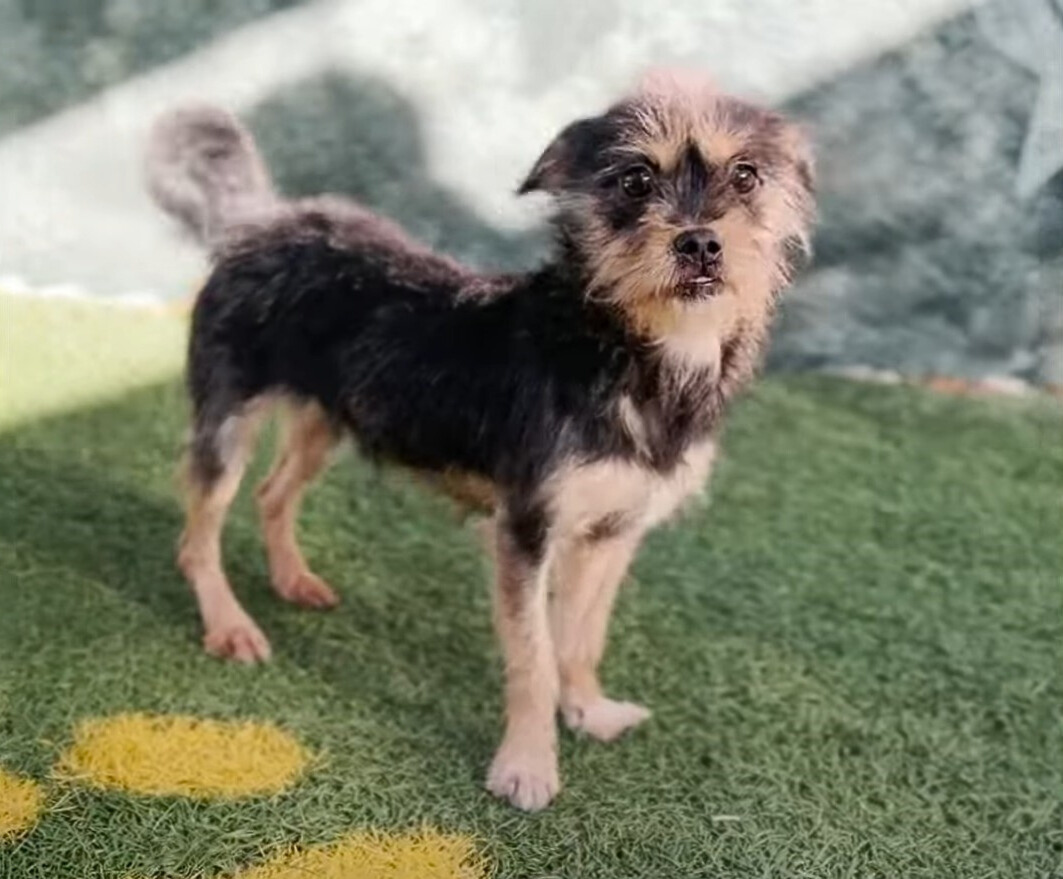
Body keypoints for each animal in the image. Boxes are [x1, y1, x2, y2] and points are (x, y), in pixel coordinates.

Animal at [145, 72, 816, 816]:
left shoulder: (613, 529)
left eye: (747, 175)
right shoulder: (525, 528)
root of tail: (258, 224)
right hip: (228, 420)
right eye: (635, 180)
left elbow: (580, 640)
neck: (624, 351)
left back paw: (292, 577)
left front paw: (588, 711)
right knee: (197, 535)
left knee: (272, 492)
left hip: (330, 418)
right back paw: (228, 624)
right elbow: (534, 657)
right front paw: (526, 765)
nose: (699, 243)